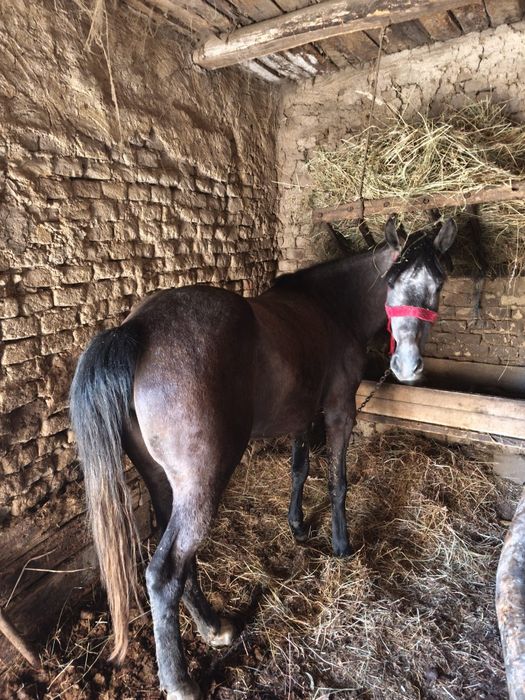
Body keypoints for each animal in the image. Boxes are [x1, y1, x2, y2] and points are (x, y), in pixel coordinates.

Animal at [70, 216, 457, 700]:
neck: (331, 309)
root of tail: (137, 330)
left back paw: (215, 626)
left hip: (162, 481)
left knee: (181, 562)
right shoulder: (338, 411)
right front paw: (341, 545)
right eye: (391, 282)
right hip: (202, 485)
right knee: (165, 572)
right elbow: (337, 481)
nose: (406, 366)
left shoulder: (301, 415)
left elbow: (299, 469)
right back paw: (181, 680)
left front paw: (298, 525)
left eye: (438, 283)